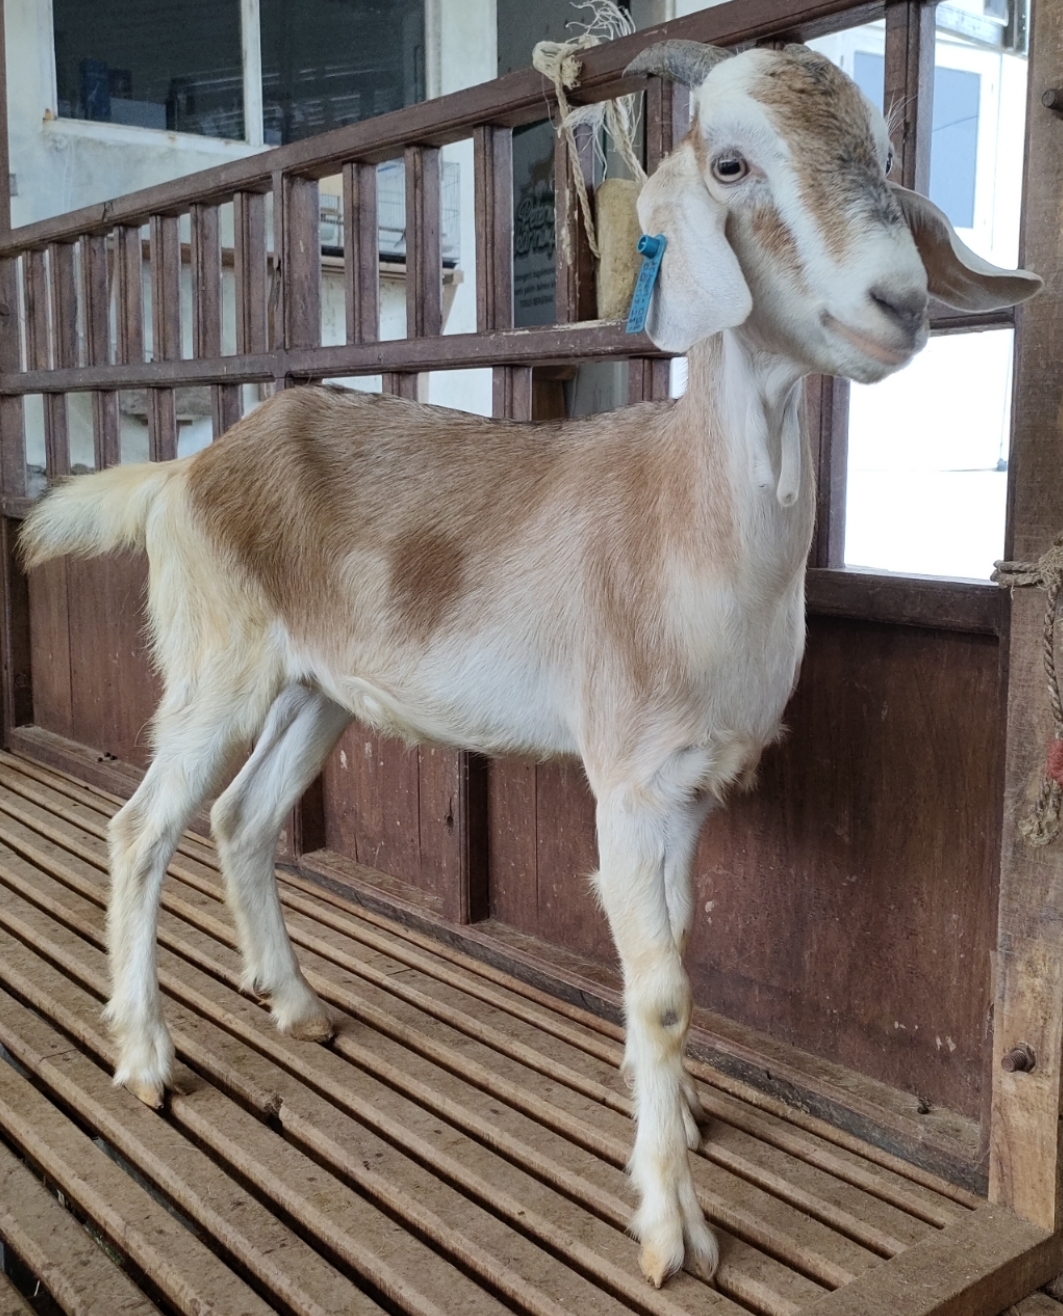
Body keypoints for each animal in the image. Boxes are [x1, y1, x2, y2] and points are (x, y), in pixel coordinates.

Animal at [20, 39, 1040, 1289]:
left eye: (884, 158)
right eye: (732, 162)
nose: (896, 304)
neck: (684, 520)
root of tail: (185, 474)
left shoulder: (687, 789)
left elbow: (679, 947)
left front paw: (673, 1116)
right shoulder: (629, 779)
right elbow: (662, 991)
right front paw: (670, 1224)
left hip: (316, 690)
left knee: (242, 818)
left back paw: (296, 1003)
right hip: (216, 669)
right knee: (139, 829)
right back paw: (148, 1057)